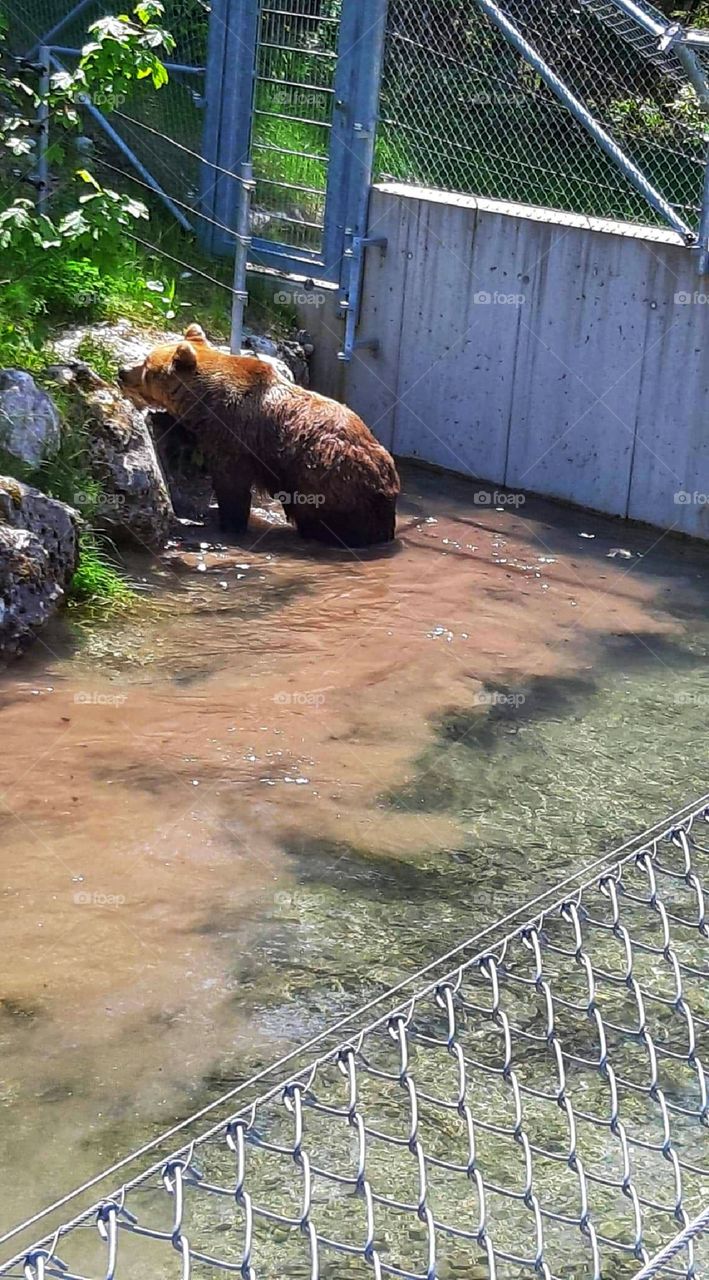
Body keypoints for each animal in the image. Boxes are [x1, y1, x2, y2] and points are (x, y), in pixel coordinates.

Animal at [118, 322, 399, 547]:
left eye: (146, 364)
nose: (122, 370)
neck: (205, 401)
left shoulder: (234, 435)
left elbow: (232, 484)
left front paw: (228, 522)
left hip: (329, 474)